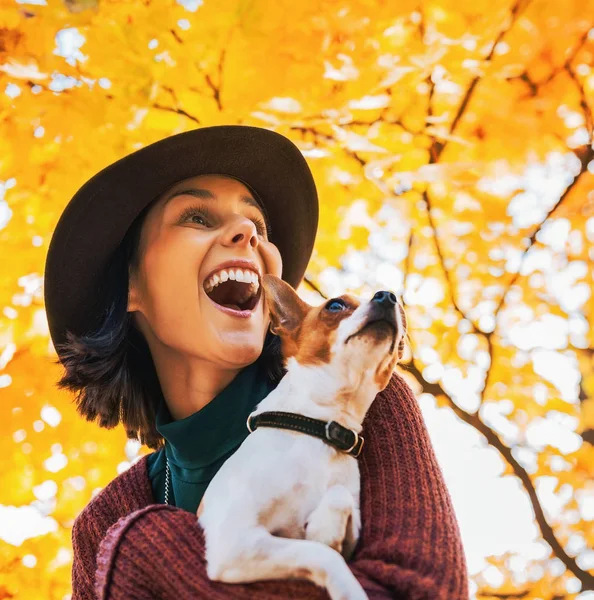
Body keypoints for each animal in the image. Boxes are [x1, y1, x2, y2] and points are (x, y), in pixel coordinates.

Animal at [197, 276, 404, 600]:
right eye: (335, 305)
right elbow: (324, 555)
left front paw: (324, 527)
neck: (319, 426)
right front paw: (348, 588)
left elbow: (341, 498)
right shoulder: (236, 542)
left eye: (401, 344)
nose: (389, 296)